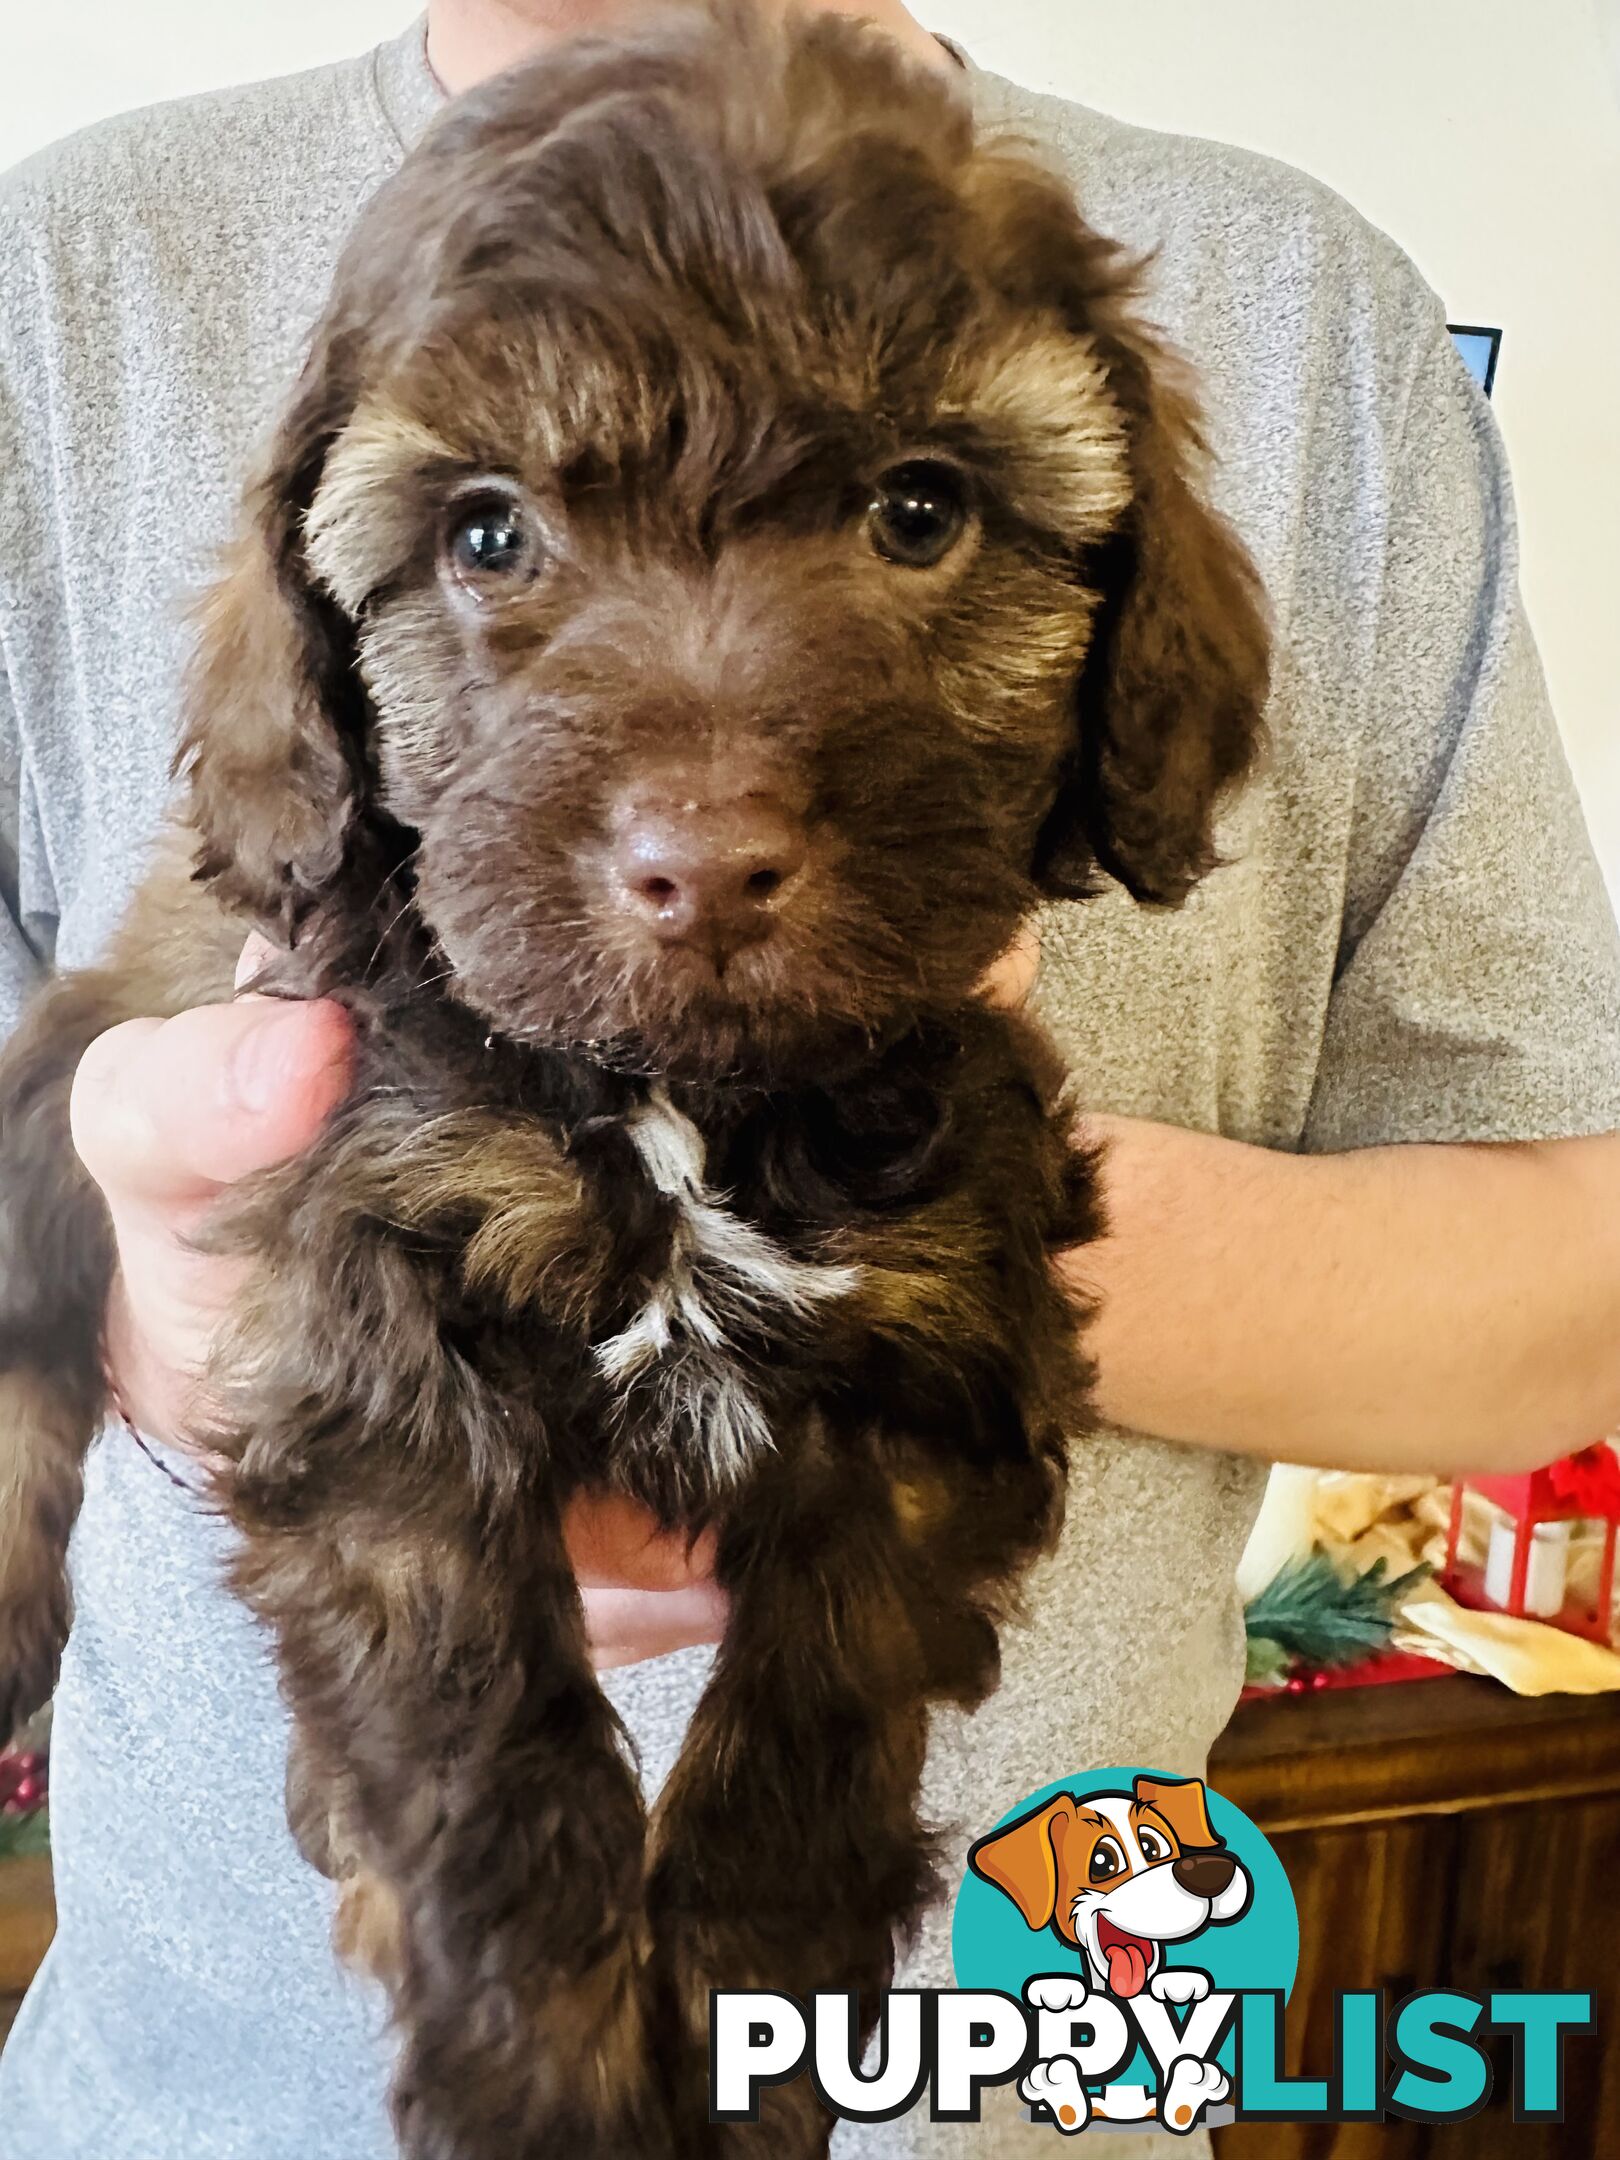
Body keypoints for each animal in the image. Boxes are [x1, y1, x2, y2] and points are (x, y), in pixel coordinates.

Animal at [0, 8, 1270, 2151]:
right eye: (486, 532)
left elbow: (816, 1716)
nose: (705, 861)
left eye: (919, 510)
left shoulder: (937, 1335)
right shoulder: (374, 1306)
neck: (689, 1107)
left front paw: (750, 2030)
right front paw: (548, 2070)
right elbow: (477, 1732)